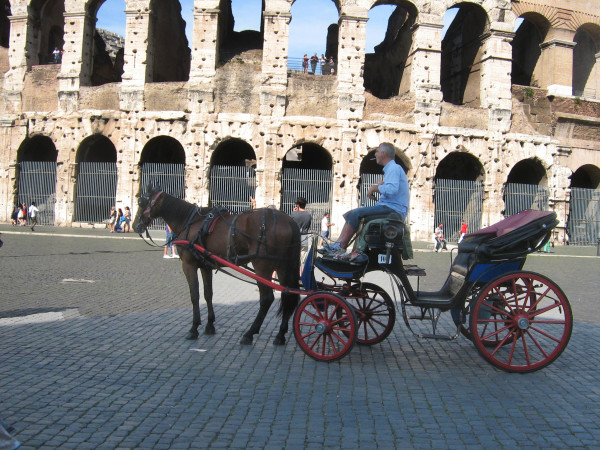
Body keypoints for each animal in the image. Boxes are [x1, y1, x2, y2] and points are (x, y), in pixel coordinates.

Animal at [131, 185, 300, 346]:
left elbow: (194, 295)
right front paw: (210, 325)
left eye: (141, 202)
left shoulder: (188, 265)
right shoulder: (205, 266)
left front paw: (194, 328)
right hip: (283, 266)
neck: (189, 221)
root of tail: (288, 220)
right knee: (287, 294)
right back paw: (280, 335)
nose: (135, 226)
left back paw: (250, 333)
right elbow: (208, 294)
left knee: (267, 298)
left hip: (262, 266)